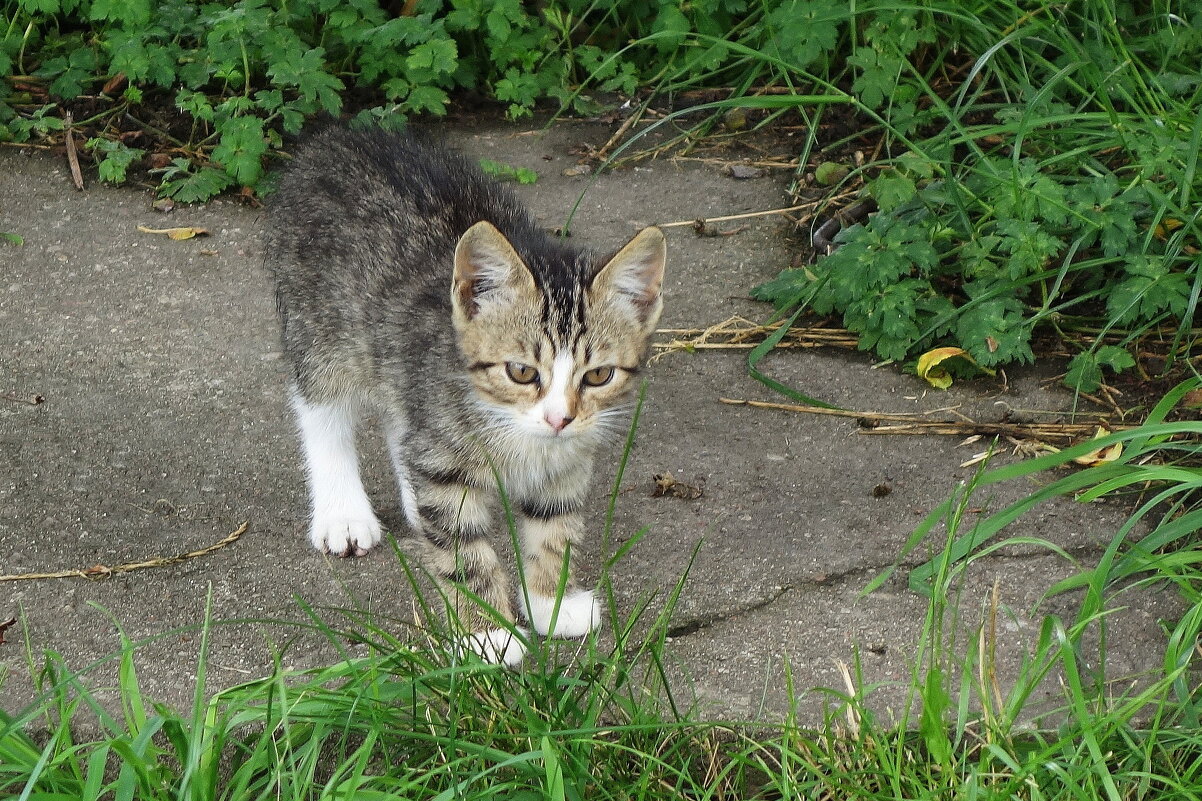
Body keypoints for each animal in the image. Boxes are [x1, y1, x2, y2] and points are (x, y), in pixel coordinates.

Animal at [262, 125, 668, 659]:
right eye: (521, 371)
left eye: (598, 376)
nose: (559, 418)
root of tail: (338, 136)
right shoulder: (444, 449)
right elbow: (464, 550)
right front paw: (488, 633)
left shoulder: (567, 458)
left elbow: (554, 526)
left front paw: (550, 603)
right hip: (321, 326)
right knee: (321, 407)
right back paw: (342, 513)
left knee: (400, 419)